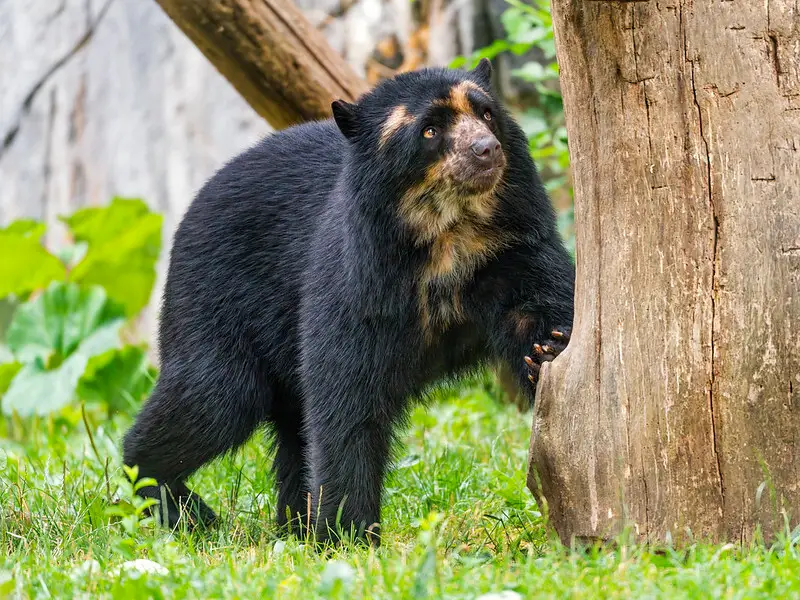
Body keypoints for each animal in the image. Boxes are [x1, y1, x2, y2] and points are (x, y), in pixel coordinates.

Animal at [123, 59, 576, 544]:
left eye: (487, 113)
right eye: (430, 130)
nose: (486, 150)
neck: (449, 237)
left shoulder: (514, 248)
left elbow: (540, 306)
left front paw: (547, 349)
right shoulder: (359, 277)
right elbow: (347, 397)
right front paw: (350, 535)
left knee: (288, 429)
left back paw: (293, 523)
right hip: (214, 300)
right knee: (215, 396)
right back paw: (184, 507)